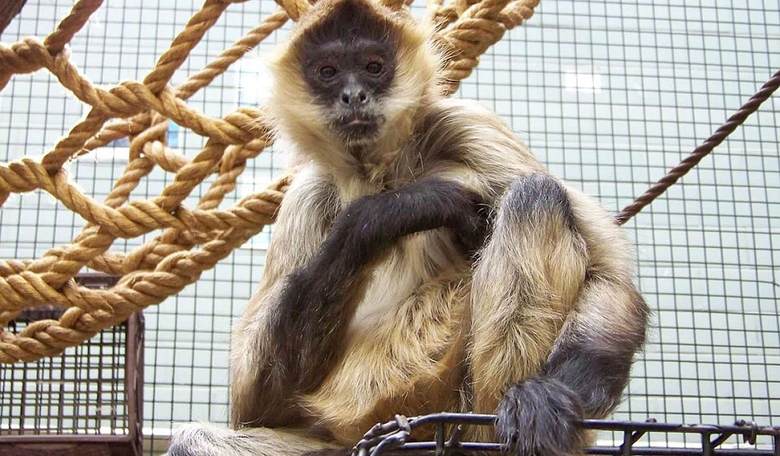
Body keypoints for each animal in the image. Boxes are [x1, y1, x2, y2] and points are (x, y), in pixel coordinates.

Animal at [167, 0, 649, 454]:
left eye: (373, 66)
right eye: (328, 72)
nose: (354, 95)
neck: (384, 171)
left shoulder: (467, 123)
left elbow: (609, 273)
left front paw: (549, 392)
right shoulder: (309, 190)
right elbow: (255, 402)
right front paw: (404, 208)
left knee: (536, 196)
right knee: (191, 441)